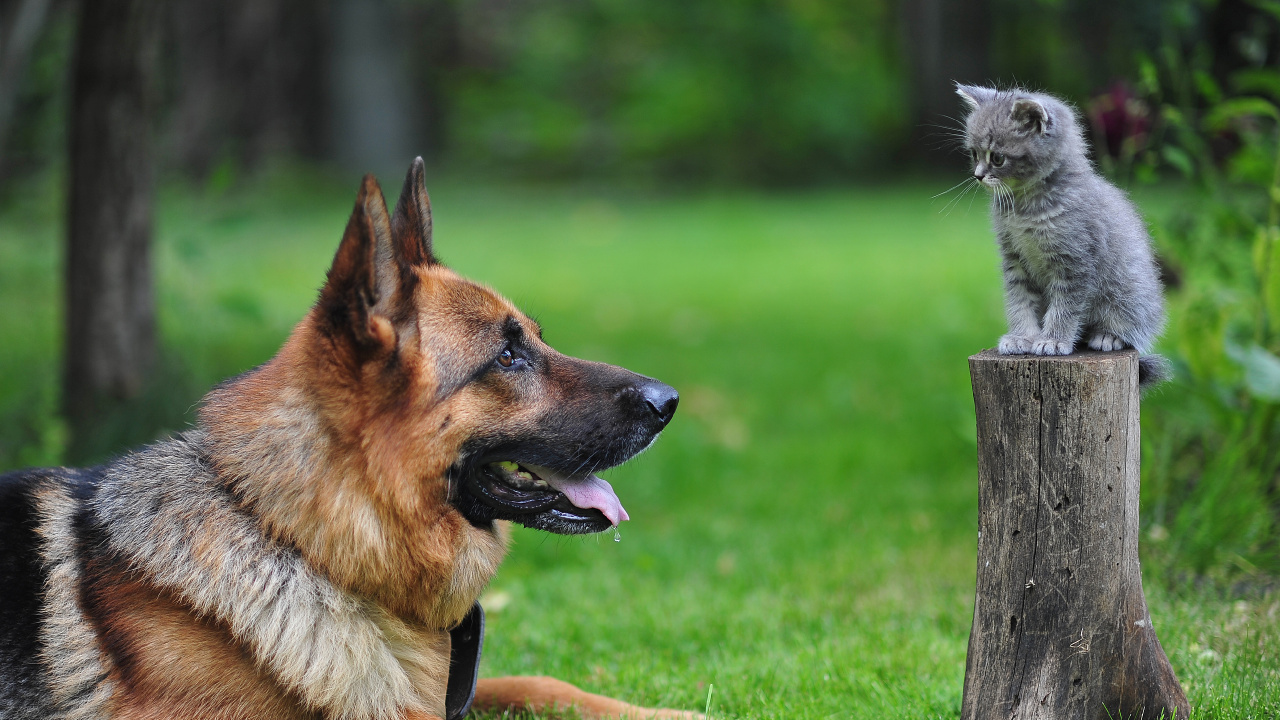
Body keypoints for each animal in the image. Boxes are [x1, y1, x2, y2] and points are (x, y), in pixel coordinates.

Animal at [962, 82, 1172, 386]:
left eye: (997, 158)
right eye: (973, 154)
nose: (977, 175)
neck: (1024, 208)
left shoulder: (1075, 261)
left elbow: (1065, 306)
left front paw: (1052, 340)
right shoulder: (1014, 259)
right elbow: (1019, 299)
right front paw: (1022, 336)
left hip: (1130, 290)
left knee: (1134, 324)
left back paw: (1108, 336)